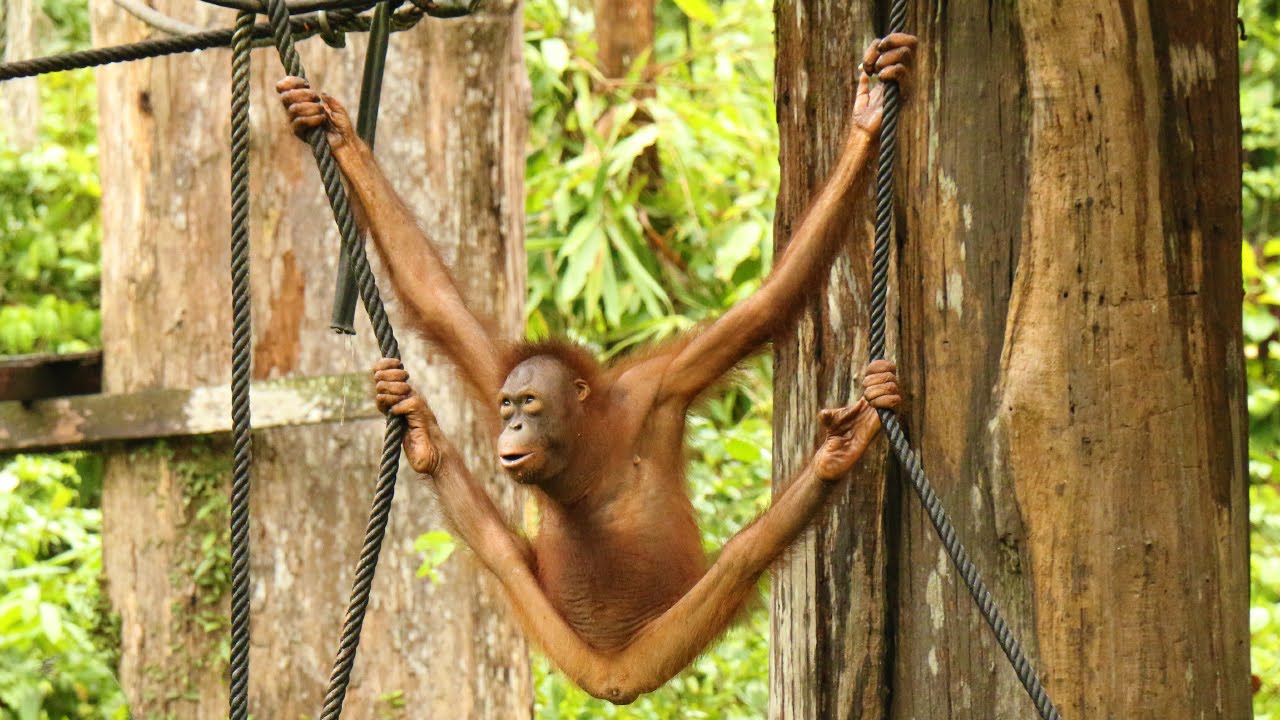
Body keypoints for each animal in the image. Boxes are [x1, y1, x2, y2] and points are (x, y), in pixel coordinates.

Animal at [278, 33, 915, 704]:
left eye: (529, 405)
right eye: (507, 406)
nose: (511, 427)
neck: (586, 442)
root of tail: (615, 673)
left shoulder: (661, 386)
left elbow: (768, 303)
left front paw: (866, 120)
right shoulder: (494, 370)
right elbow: (437, 303)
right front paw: (339, 132)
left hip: (668, 636)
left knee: (742, 560)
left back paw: (833, 458)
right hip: (562, 636)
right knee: (504, 557)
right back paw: (424, 438)